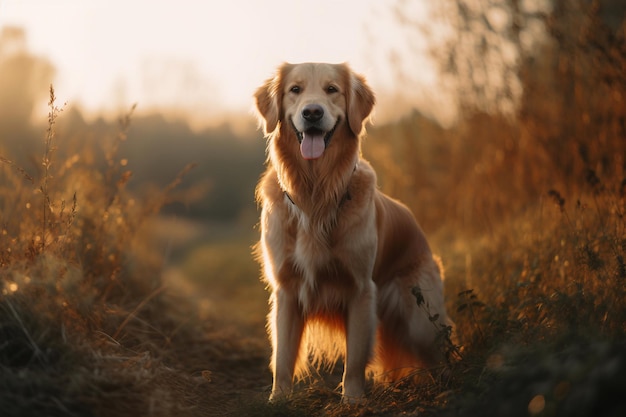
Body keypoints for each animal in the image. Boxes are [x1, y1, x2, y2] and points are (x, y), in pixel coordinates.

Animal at [255, 62, 454, 404]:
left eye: (332, 90)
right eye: (295, 90)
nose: (312, 112)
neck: (316, 197)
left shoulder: (361, 289)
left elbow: (356, 359)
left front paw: (354, 401)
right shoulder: (287, 290)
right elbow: (282, 356)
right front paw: (277, 400)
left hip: (419, 318)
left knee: (441, 348)